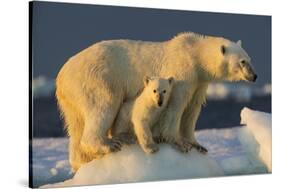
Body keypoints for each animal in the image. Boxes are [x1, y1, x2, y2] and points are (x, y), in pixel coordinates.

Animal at [55, 32, 256, 171]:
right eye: (242, 62)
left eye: (249, 59)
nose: (254, 76)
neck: (194, 54)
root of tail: (61, 76)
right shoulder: (182, 73)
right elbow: (176, 107)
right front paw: (179, 143)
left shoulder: (199, 82)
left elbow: (192, 111)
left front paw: (198, 145)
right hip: (97, 79)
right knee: (103, 106)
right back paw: (109, 144)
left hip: (72, 98)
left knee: (76, 124)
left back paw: (82, 161)